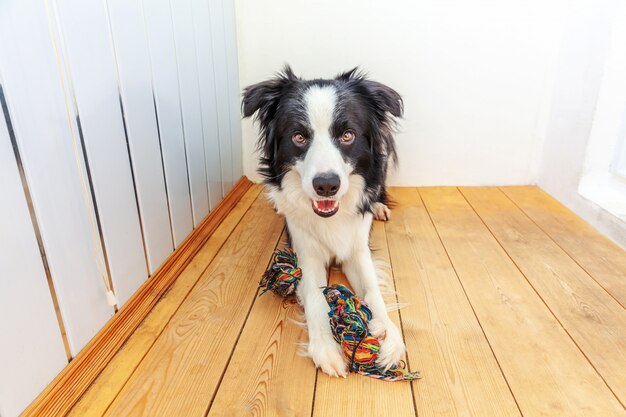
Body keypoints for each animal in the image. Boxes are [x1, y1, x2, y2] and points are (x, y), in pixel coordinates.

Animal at [241, 66, 402, 376]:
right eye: (299, 137)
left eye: (348, 135)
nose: (326, 185)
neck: (330, 217)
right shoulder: (306, 253)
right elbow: (316, 297)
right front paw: (326, 348)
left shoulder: (357, 247)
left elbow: (373, 289)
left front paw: (388, 334)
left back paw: (379, 207)